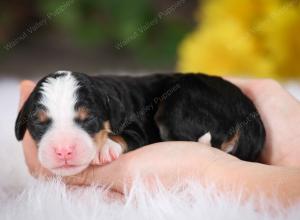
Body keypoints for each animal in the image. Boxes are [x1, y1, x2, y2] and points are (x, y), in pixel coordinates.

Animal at [15, 71, 266, 176]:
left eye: (89, 119)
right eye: (39, 123)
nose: (64, 150)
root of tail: (250, 114)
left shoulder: (137, 127)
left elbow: (125, 135)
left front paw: (105, 147)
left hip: (179, 105)